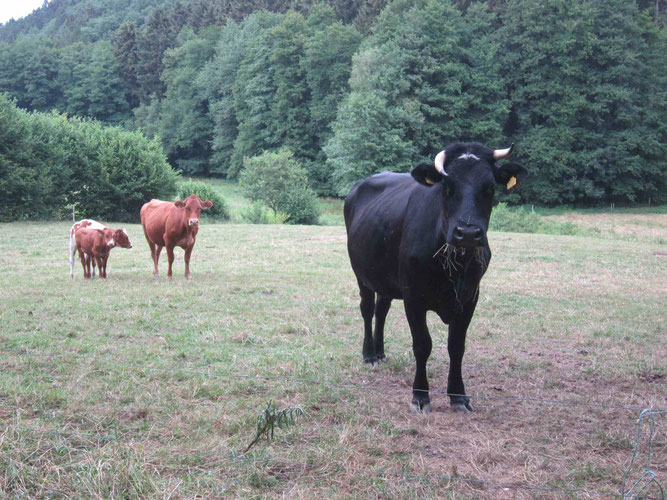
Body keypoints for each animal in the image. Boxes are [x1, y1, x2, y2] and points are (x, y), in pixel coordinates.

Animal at [344, 142, 528, 414]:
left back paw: (380, 352)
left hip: (386, 279)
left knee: (381, 309)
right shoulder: (413, 297)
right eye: (447, 187)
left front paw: (458, 395)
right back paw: (369, 354)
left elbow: (457, 346)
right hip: (361, 273)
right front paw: (420, 395)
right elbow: (422, 344)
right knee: (367, 309)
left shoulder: (470, 297)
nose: (468, 233)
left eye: (490, 188)